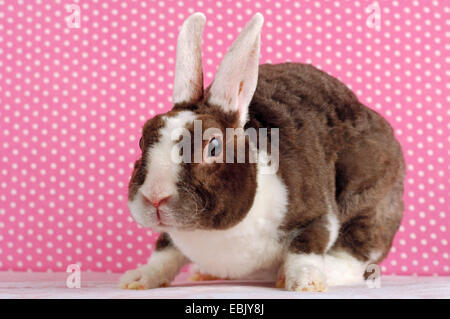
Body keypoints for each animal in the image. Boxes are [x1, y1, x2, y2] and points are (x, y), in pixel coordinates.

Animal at [118, 12, 404, 292]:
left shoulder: (316, 216)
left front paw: (305, 283)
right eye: (142, 140)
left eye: (213, 147)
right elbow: (164, 253)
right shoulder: (170, 235)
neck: (211, 233)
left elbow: (306, 248)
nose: (155, 197)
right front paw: (138, 278)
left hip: (368, 203)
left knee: (358, 260)